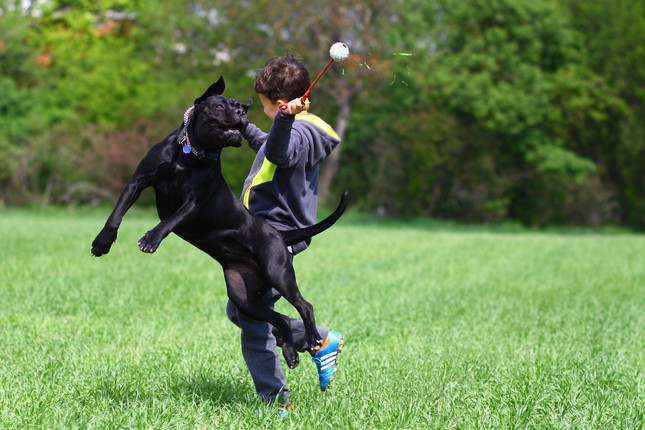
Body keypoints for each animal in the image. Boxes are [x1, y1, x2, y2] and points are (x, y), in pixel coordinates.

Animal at [90, 76, 348, 366]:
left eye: (239, 107)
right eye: (219, 105)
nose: (241, 113)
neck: (189, 154)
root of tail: (278, 234)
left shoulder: (193, 202)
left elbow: (170, 220)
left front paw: (151, 238)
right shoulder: (138, 181)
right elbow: (116, 214)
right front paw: (102, 242)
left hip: (278, 271)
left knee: (305, 305)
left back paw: (314, 338)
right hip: (243, 295)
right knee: (280, 318)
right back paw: (291, 354)